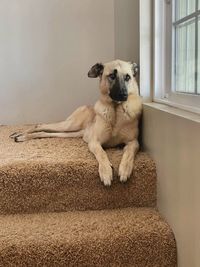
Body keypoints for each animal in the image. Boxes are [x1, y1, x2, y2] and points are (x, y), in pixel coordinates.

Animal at [10, 60, 142, 186]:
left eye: (128, 77)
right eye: (112, 76)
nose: (123, 94)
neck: (116, 110)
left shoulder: (133, 142)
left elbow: (129, 154)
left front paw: (124, 169)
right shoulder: (94, 142)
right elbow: (102, 154)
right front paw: (106, 172)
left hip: (71, 132)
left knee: (44, 132)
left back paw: (21, 136)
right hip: (69, 125)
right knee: (41, 125)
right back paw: (20, 135)